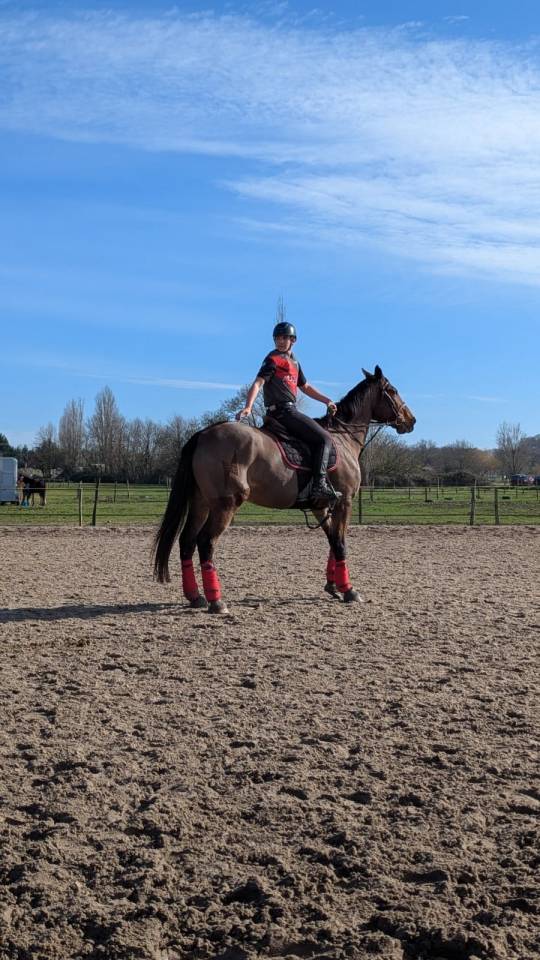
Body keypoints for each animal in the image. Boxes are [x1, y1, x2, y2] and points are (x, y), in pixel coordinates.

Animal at [153, 366, 415, 613]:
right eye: (392, 390)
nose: (411, 420)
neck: (342, 439)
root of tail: (203, 434)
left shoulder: (322, 506)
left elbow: (333, 540)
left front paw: (333, 586)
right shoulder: (345, 502)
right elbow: (341, 543)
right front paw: (349, 590)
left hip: (201, 503)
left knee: (186, 542)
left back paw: (195, 596)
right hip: (224, 505)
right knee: (205, 543)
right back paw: (216, 601)